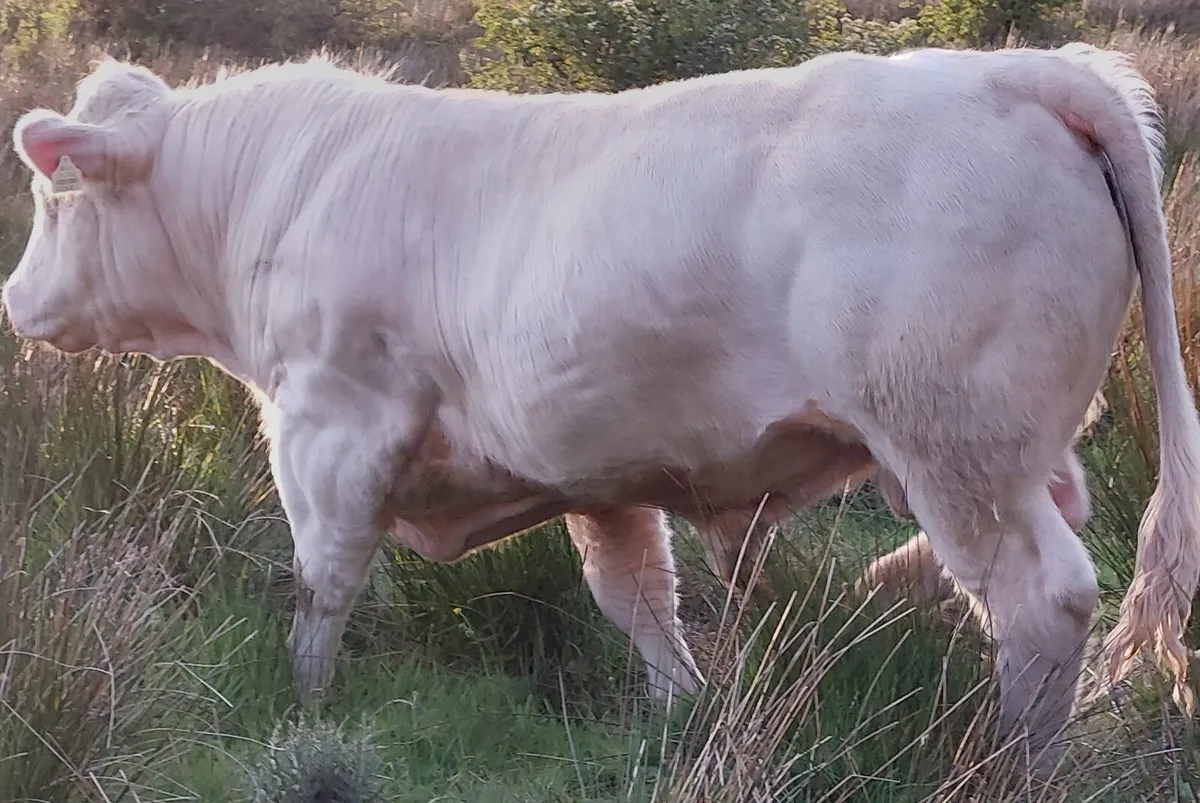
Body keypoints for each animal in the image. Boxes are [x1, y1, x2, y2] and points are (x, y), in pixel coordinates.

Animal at [5, 43, 1199, 777]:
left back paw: (1009, 761)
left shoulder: (331, 425)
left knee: (1042, 594)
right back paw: (876, 595)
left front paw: (305, 701)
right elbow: (635, 596)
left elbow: (322, 580)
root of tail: (1019, 70)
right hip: (995, 442)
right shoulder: (594, 463)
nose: (15, 298)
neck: (274, 189)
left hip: (952, 436)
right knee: (1040, 529)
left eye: (54, 196)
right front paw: (681, 708)